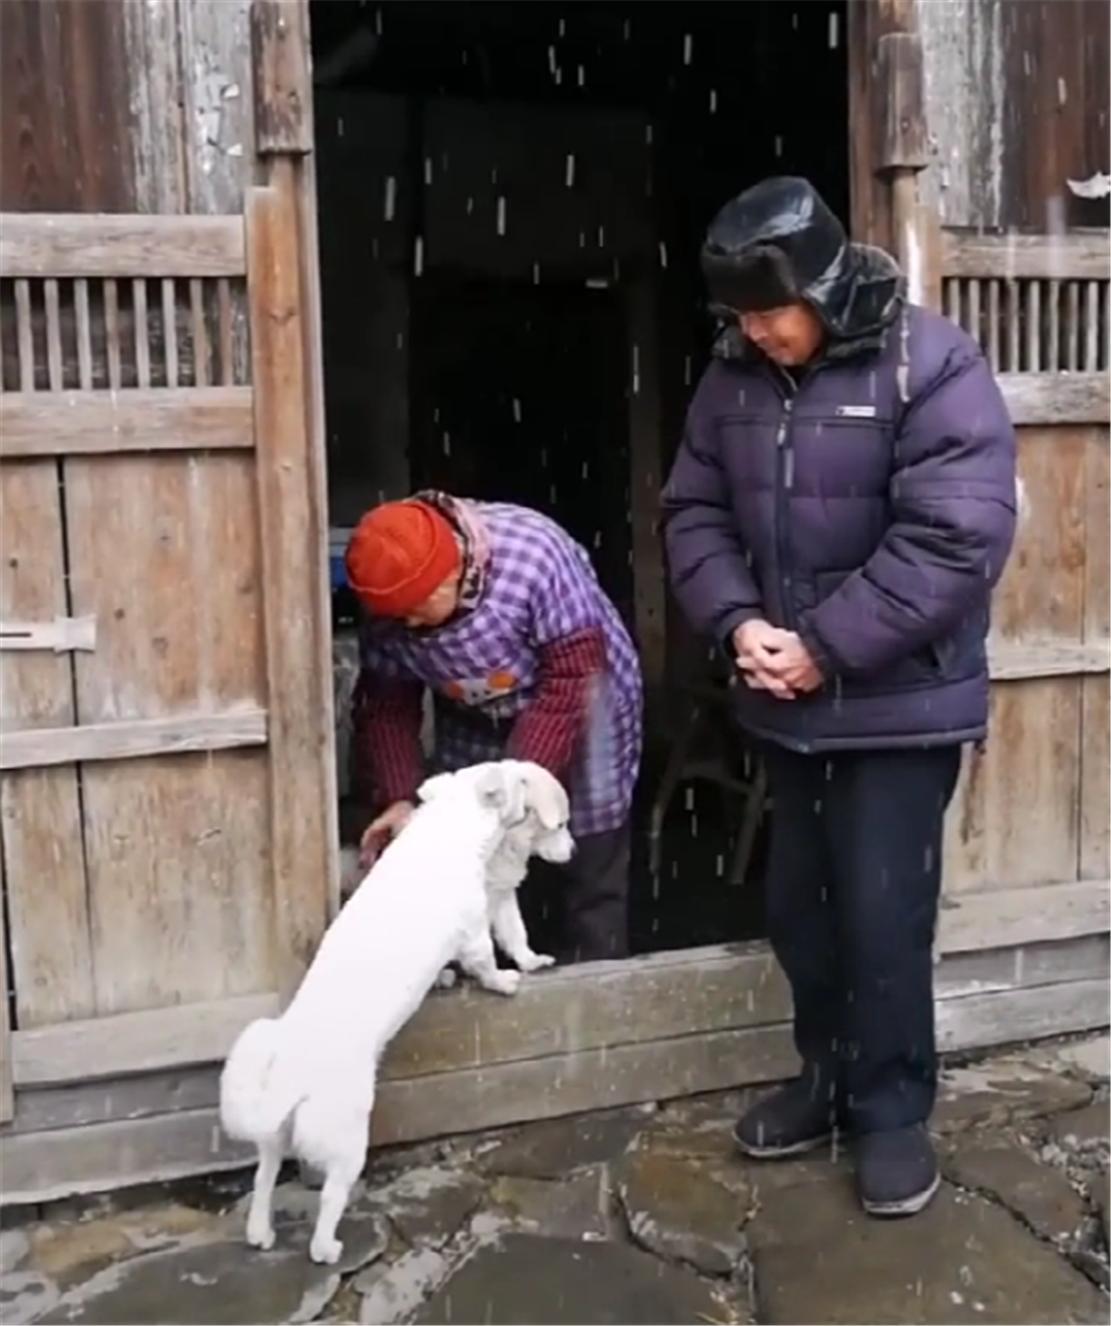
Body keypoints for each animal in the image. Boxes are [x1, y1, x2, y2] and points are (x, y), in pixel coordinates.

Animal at [218, 758, 575, 1262]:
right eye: (559, 824)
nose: (574, 848)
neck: (448, 826)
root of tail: (292, 1070)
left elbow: (515, 936)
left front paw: (525, 962)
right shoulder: (472, 928)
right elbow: (488, 957)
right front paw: (505, 980)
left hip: (275, 1137)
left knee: (263, 1179)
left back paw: (260, 1233)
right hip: (348, 1143)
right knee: (330, 1199)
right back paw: (327, 1248)